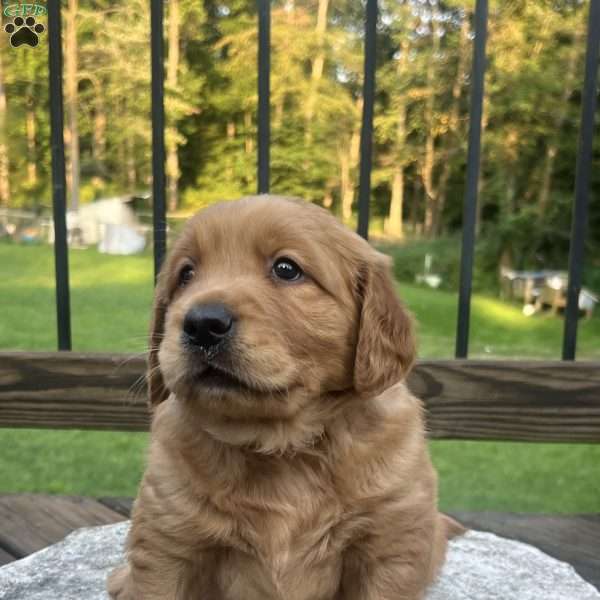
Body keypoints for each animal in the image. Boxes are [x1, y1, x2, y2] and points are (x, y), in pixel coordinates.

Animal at [108, 195, 452, 596]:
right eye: (186, 274)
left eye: (287, 269)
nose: (202, 324)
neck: (281, 444)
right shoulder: (166, 544)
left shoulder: (391, 547)